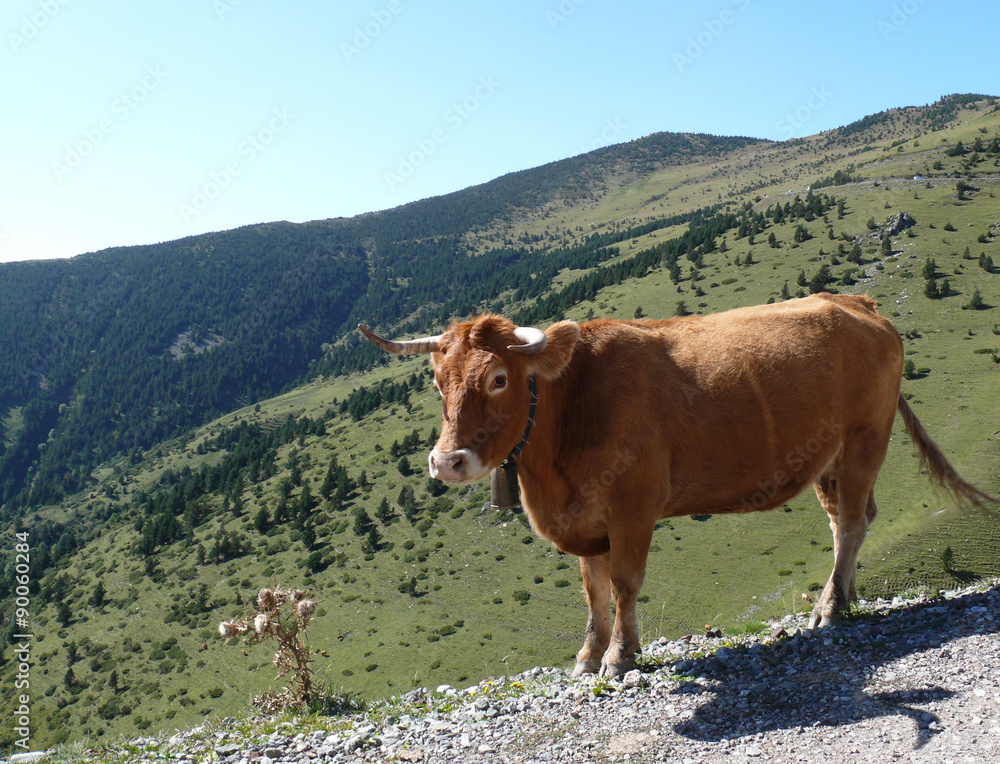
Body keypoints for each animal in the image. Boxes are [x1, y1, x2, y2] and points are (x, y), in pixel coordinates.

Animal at [359, 293, 996, 678]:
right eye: (437, 382)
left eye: (497, 378)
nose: (447, 462)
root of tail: (854, 301)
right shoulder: (586, 517)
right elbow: (592, 592)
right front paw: (587, 656)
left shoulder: (633, 504)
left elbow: (623, 583)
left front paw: (620, 657)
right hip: (830, 459)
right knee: (851, 518)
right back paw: (848, 595)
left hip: (867, 437)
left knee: (853, 524)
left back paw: (831, 607)